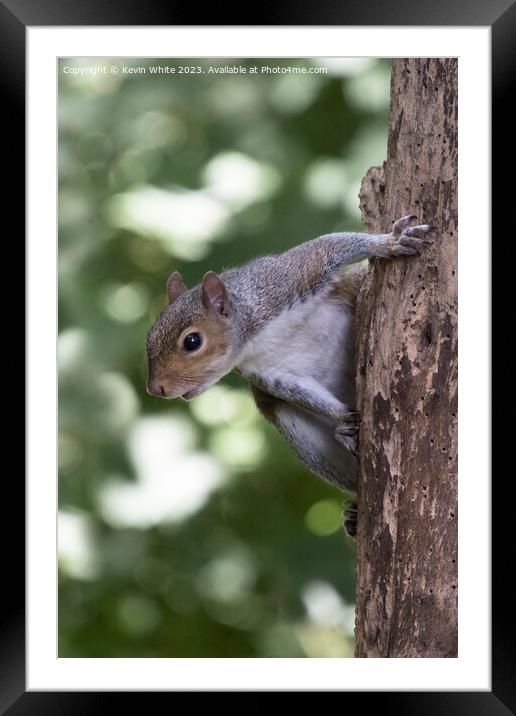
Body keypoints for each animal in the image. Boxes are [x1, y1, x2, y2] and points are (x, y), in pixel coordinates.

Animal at [147, 215, 434, 536]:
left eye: (192, 341)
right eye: (150, 334)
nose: (156, 388)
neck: (254, 338)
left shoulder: (288, 280)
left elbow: (330, 247)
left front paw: (390, 242)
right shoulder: (271, 374)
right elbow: (299, 391)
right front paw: (341, 419)